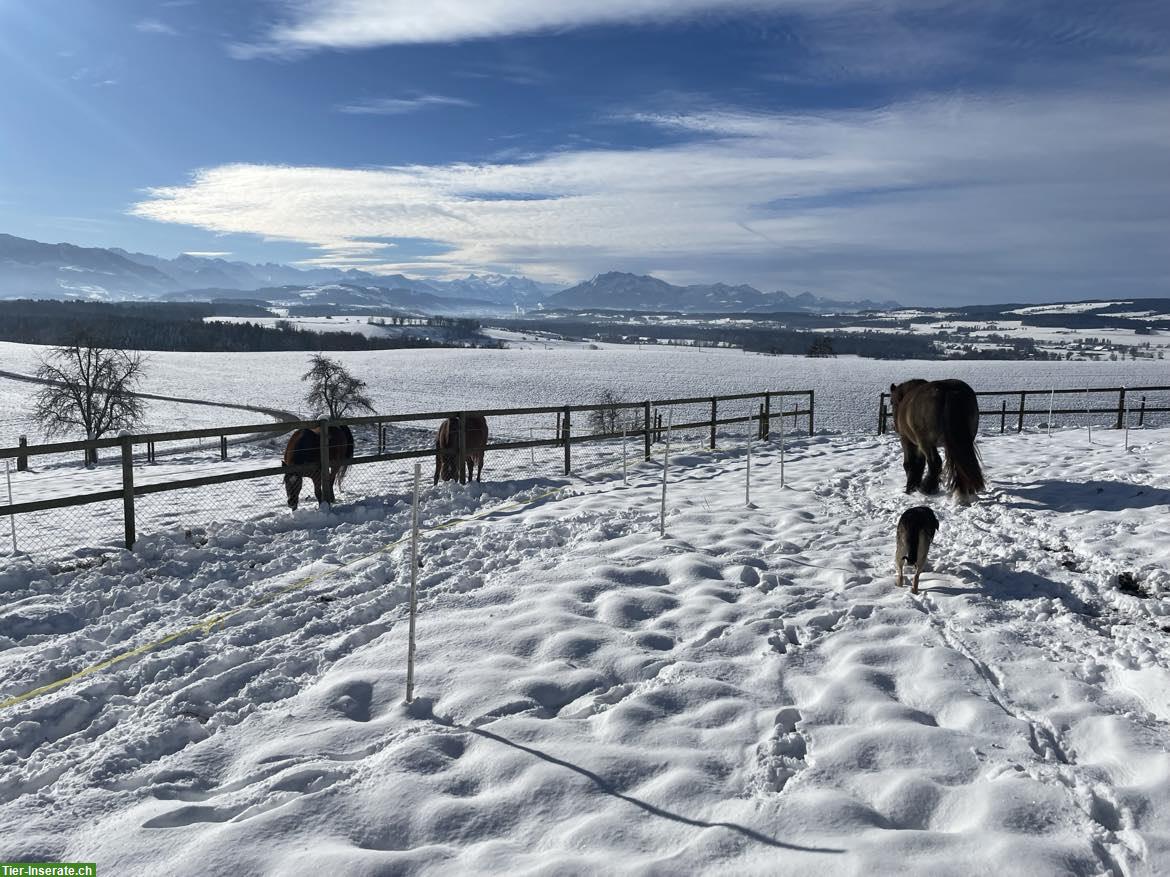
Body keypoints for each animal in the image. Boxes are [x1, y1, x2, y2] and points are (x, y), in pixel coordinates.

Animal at [889, 378, 982, 507]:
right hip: (958, 443)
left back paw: (927, 488)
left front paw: (911, 488)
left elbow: (910, 464)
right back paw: (961, 495)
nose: (895, 427)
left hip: (927, 443)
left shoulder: (907, 441)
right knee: (960, 467)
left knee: (935, 462)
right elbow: (919, 464)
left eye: (891, 402)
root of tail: (948, 390)